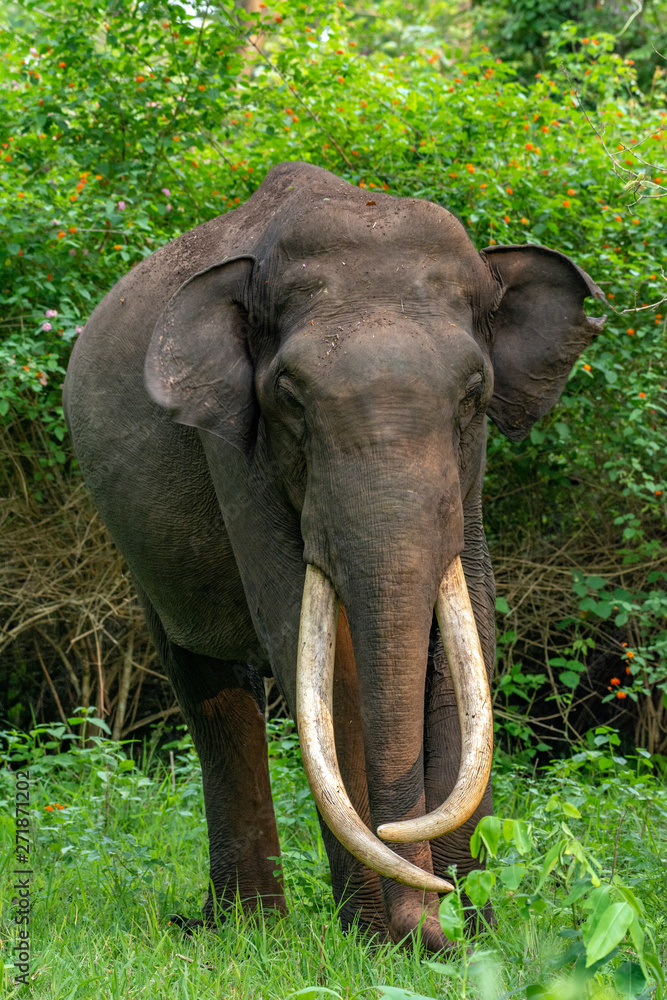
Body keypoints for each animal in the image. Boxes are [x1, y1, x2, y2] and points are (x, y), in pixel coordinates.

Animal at [63, 160, 605, 951]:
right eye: (290, 397)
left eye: (474, 393)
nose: (435, 917)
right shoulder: (237, 450)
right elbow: (315, 646)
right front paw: (388, 939)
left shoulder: (467, 481)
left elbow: (468, 627)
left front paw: (473, 934)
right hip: (135, 544)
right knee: (206, 683)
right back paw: (241, 930)